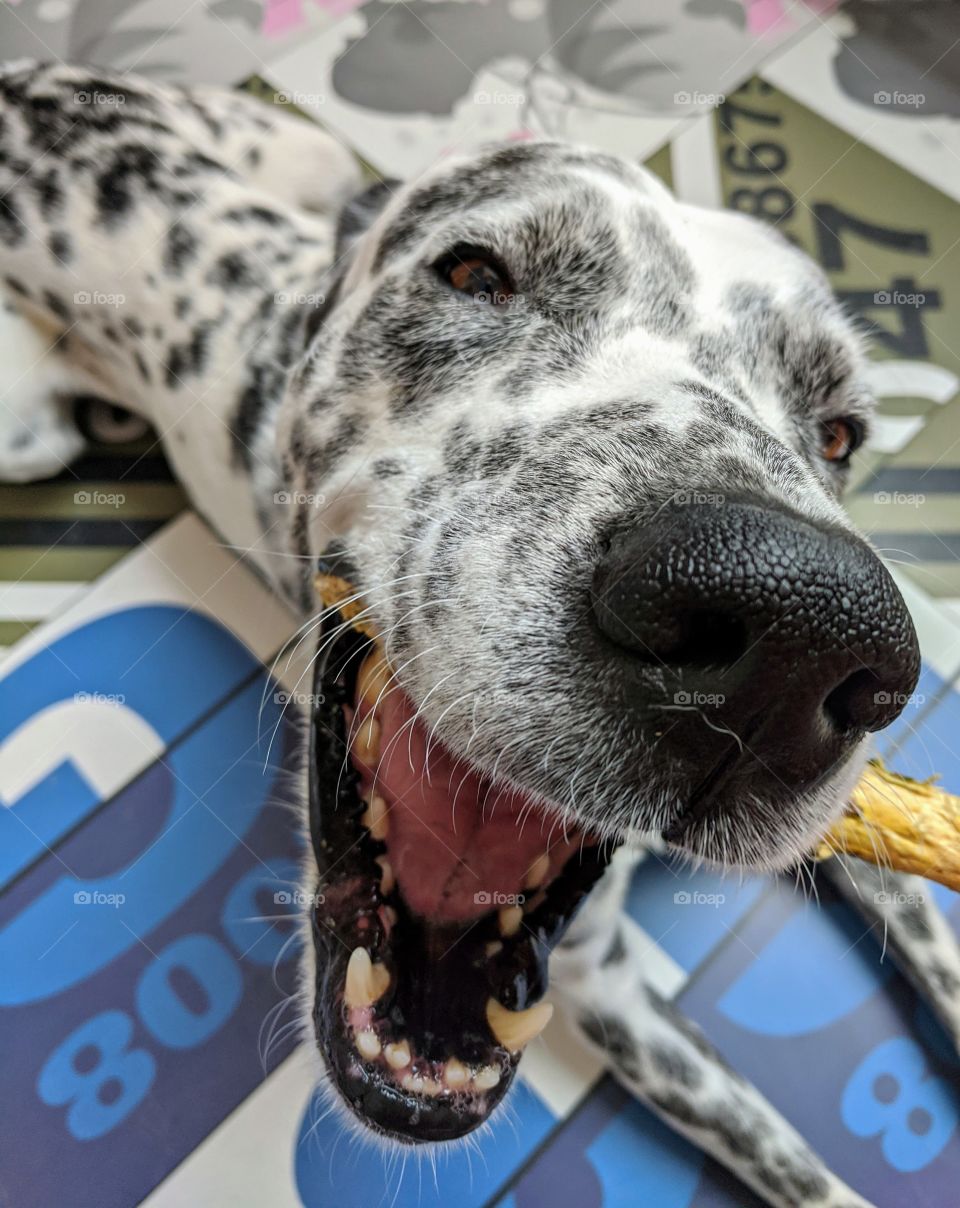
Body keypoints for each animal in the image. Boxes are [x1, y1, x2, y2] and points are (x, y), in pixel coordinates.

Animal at [0, 61, 956, 1208]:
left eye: (841, 432)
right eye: (472, 273)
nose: (797, 626)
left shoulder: (862, 840)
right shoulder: (600, 988)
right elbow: (794, 1163)